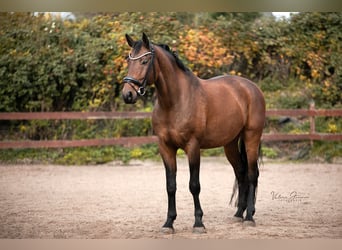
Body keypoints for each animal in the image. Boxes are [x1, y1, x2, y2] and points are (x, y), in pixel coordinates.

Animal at [121, 32, 266, 232]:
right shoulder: (165, 148)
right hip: (230, 144)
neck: (176, 101)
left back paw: (249, 217)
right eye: (128, 60)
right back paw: (239, 214)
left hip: (251, 137)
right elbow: (170, 186)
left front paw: (198, 222)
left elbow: (194, 185)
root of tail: (252, 88)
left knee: (252, 174)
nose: (127, 94)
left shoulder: (193, 147)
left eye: (144, 61)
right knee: (241, 172)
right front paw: (169, 223)